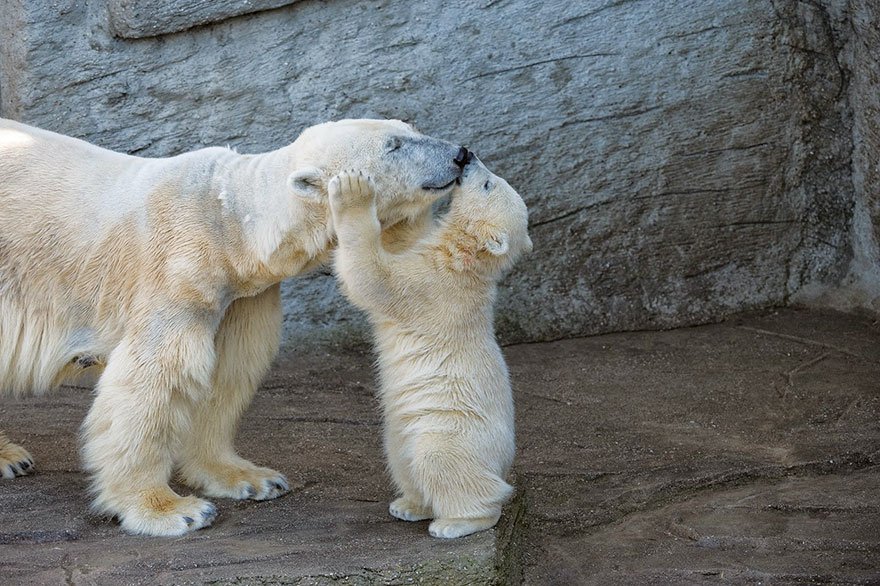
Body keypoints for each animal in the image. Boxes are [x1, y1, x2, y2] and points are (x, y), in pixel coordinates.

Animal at [0, 117, 468, 532]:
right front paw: (172, 509)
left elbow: (227, 370)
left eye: (409, 128)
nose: (460, 153)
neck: (229, 223)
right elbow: (154, 376)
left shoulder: (242, 293)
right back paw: (11, 456)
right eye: (394, 146)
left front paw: (251, 478)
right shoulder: (177, 270)